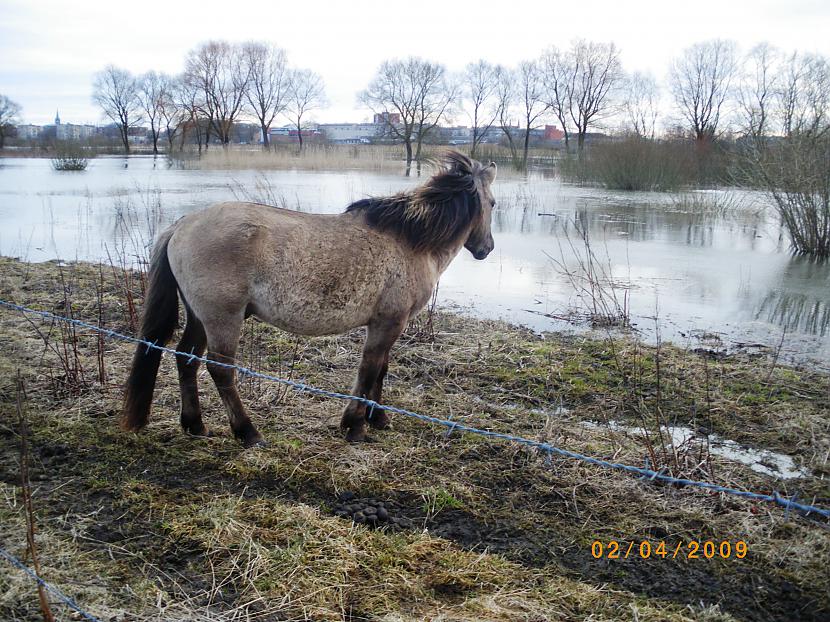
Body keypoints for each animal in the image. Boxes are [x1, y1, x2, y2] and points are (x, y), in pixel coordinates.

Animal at [122, 154, 498, 450]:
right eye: (493, 204)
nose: (487, 249)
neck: (409, 240)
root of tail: (182, 225)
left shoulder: (388, 322)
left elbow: (381, 369)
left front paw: (378, 419)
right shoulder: (389, 322)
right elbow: (370, 369)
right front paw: (355, 426)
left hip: (200, 317)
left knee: (185, 360)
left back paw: (195, 425)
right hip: (222, 319)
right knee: (220, 369)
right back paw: (248, 432)